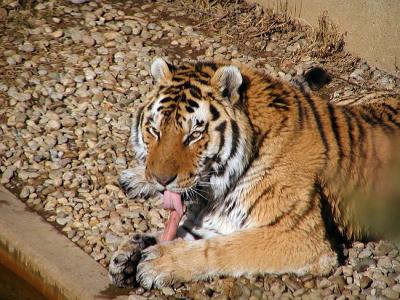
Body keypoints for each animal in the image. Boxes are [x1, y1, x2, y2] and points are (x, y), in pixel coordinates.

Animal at [107, 57, 400, 290]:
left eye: (194, 135)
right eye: (154, 130)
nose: (160, 179)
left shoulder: (298, 236)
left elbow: (223, 248)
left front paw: (157, 262)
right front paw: (129, 253)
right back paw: (135, 178)